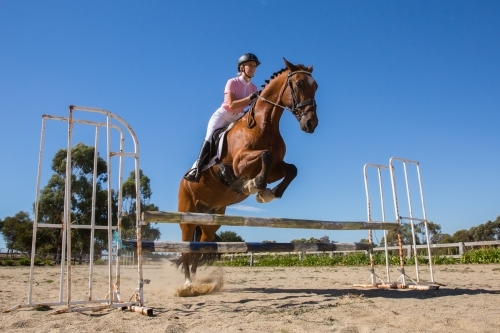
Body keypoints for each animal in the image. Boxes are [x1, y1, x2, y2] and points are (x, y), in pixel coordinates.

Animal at [178, 58, 318, 284]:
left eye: (316, 87)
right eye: (298, 84)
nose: (311, 123)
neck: (264, 123)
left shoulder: (276, 167)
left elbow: (291, 169)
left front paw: (269, 193)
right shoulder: (239, 165)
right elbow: (265, 156)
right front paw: (255, 186)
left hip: (211, 221)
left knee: (199, 247)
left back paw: (196, 283)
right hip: (187, 216)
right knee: (185, 248)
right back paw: (188, 283)